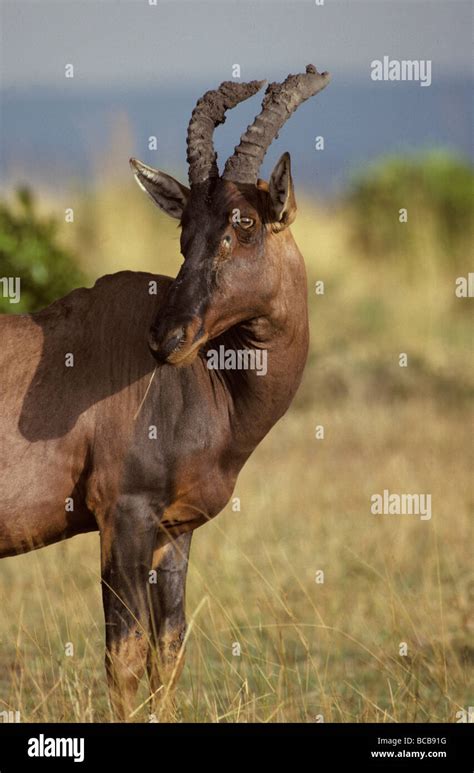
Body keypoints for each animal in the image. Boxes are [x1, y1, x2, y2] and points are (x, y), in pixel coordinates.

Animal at [0, 63, 332, 716]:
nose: (166, 338)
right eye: (184, 229)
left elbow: (168, 651)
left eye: (244, 224)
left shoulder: (173, 533)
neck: (209, 382)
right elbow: (123, 656)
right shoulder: (123, 516)